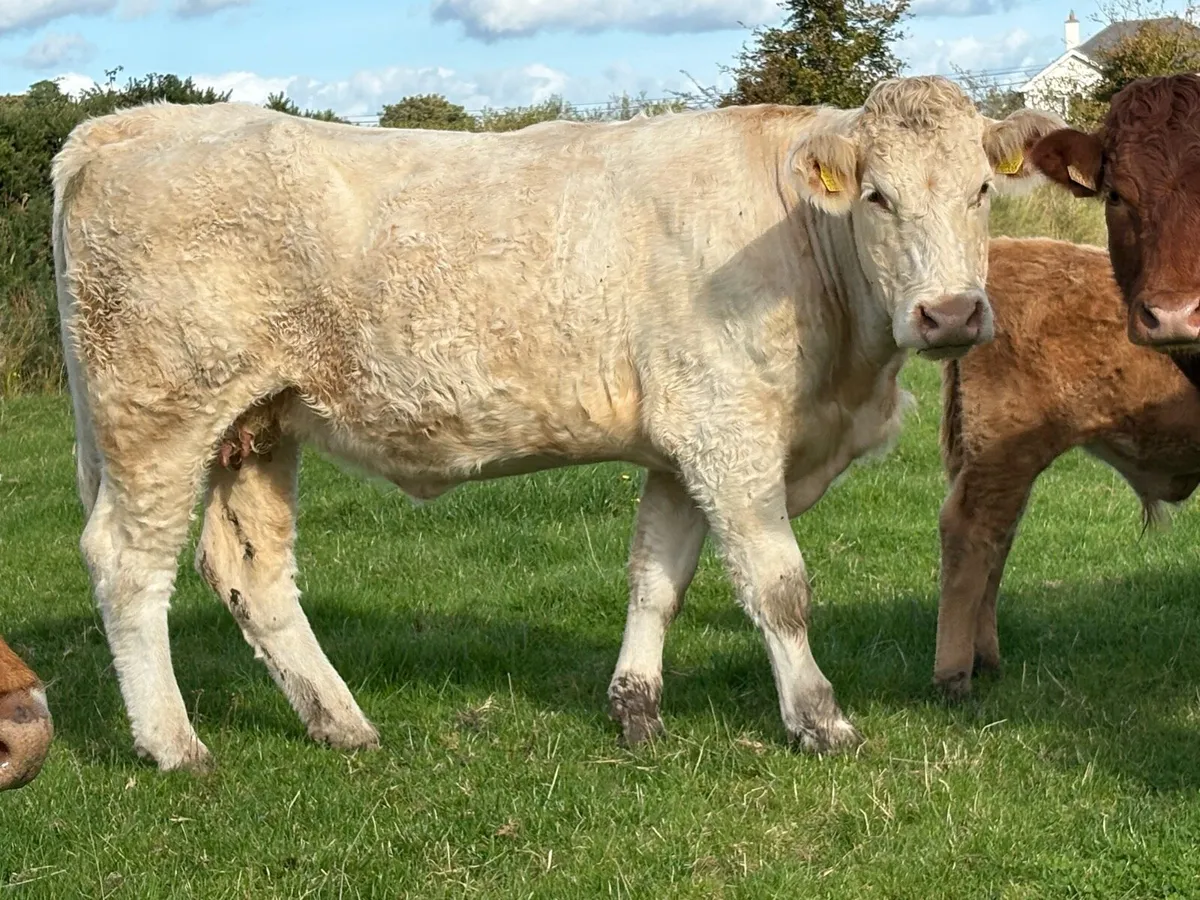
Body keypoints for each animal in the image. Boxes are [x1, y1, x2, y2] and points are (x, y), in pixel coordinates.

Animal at [52, 75, 1062, 773]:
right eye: (878, 197)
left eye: (981, 189)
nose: (950, 314)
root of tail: (135, 122)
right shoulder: (728, 432)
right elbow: (779, 586)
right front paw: (820, 720)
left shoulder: (681, 442)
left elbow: (657, 580)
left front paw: (636, 708)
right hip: (157, 410)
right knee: (126, 563)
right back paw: (174, 745)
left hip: (258, 422)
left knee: (249, 571)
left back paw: (342, 724)